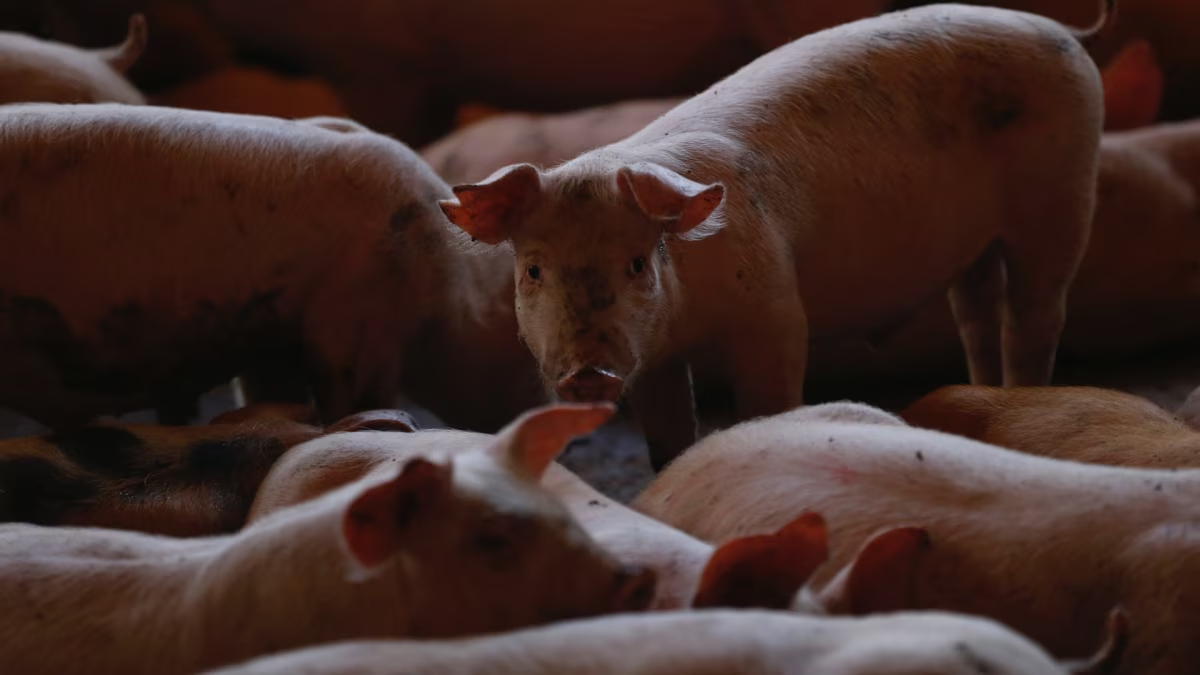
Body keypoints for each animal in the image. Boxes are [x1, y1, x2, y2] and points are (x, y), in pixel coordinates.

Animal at [439, 4, 1112, 468]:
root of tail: (1061, 30)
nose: (587, 372)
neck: (692, 316)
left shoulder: (773, 306)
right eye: (533, 270)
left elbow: (769, 394)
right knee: (976, 314)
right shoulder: (655, 353)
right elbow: (666, 436)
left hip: (1064, 194)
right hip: (975, 248)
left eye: (637, 263)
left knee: (1035, 315)